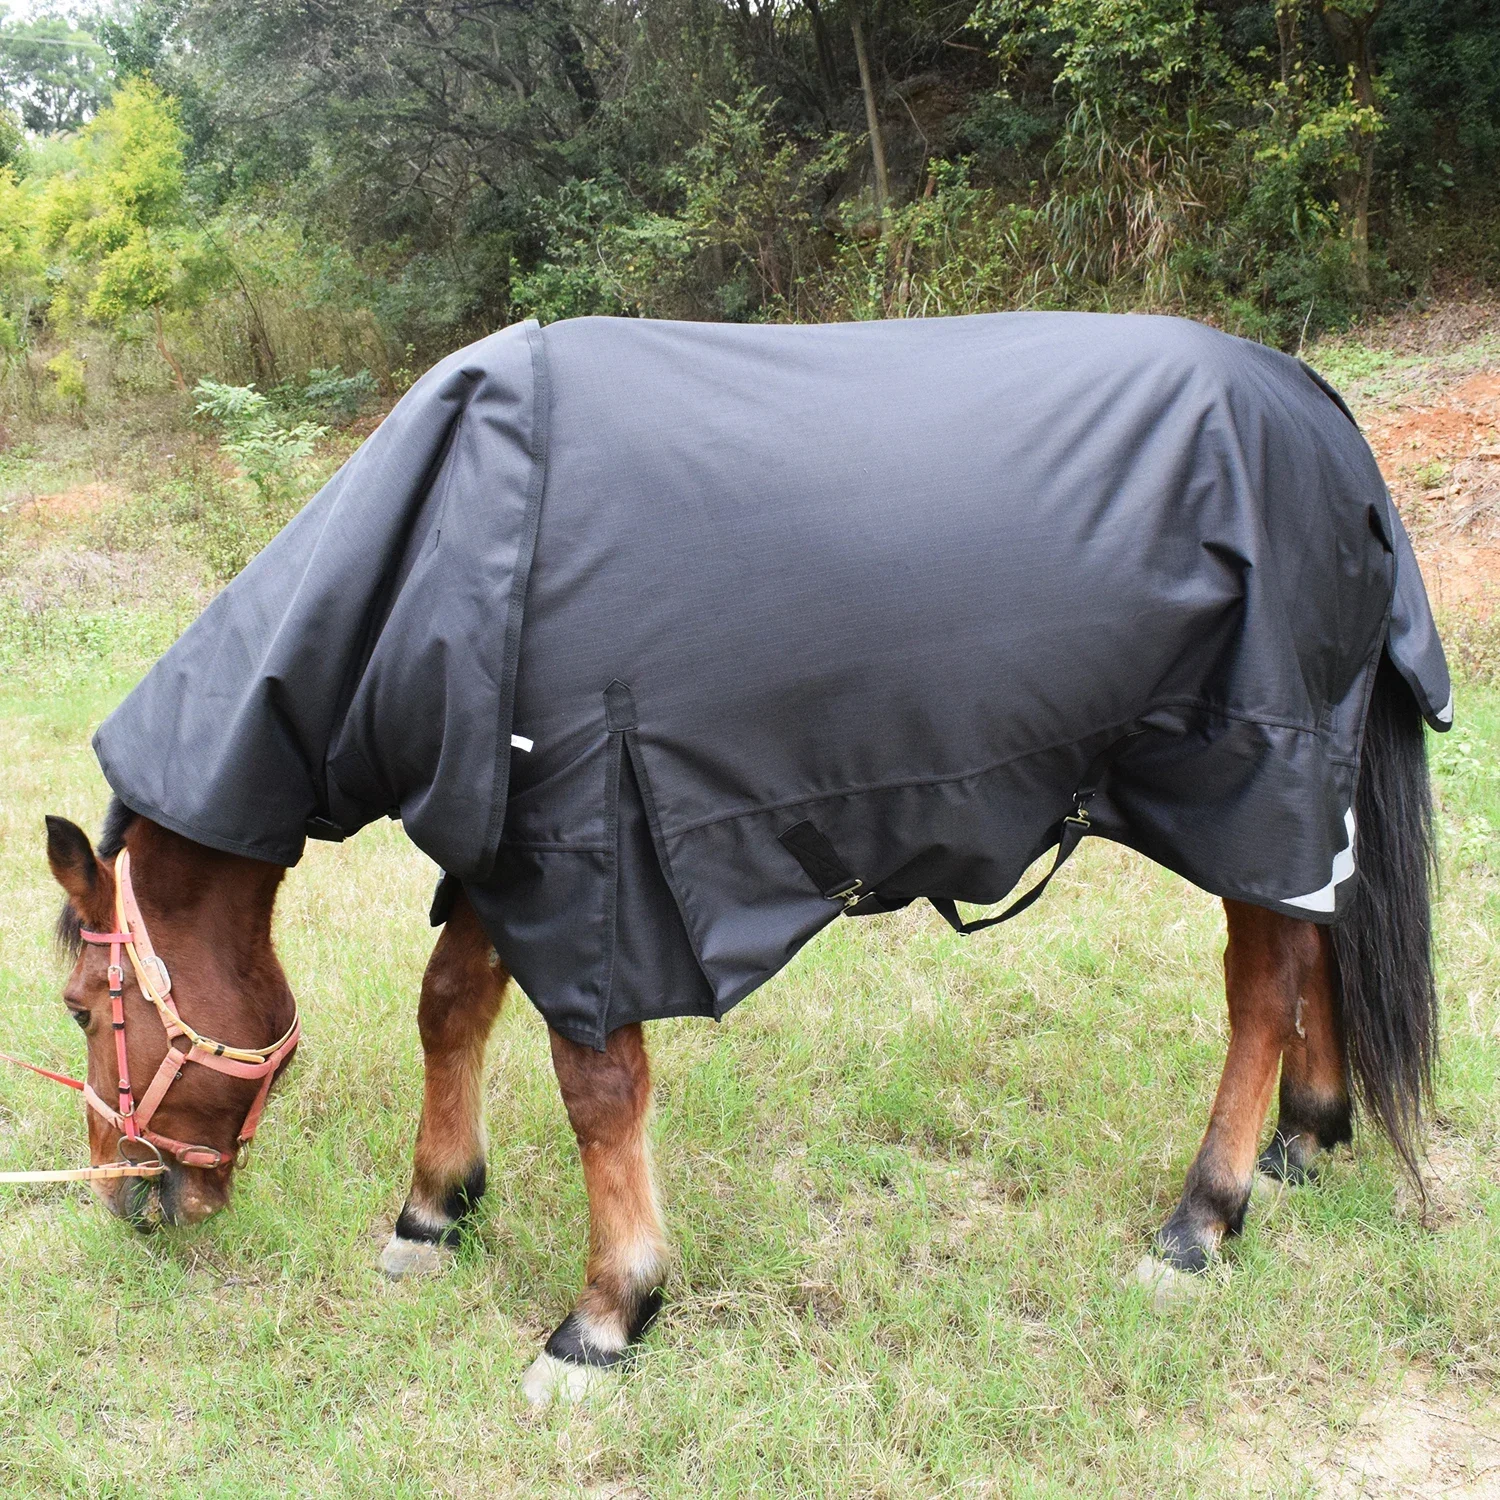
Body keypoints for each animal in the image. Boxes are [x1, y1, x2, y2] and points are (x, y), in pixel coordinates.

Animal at [35, 312, 1446, 1403]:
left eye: (82, 1005)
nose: (129, 1203)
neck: (441, 550)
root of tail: (1318, 412)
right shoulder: (511, 842)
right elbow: (448, 1009)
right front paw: (433, 1209)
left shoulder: (589, 858)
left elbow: (597, 1089)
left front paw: (608, 1313)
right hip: (1293, 799)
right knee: (1320, 937)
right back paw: (1308, 1136)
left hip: (1249, 779)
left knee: (1263, 985)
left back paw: (1201, 1221)